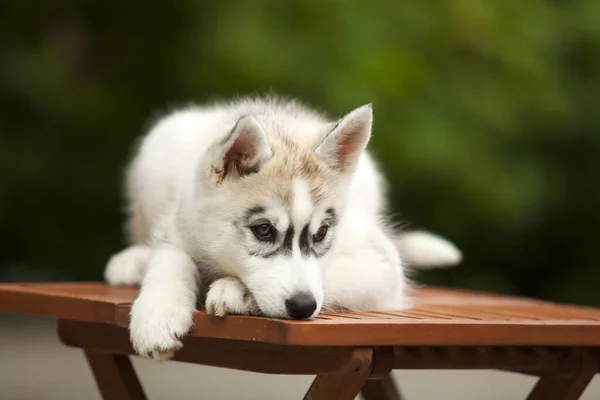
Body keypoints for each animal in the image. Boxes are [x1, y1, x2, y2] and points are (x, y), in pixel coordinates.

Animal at [104, 96, 460, 360]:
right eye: (263, 231)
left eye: (321, 233)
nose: (303, 307)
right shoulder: (179, 227)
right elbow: (170, 261)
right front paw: (156, 316)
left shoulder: (382, 265)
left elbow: (329, 276)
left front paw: (238, 292)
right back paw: (133, 260)